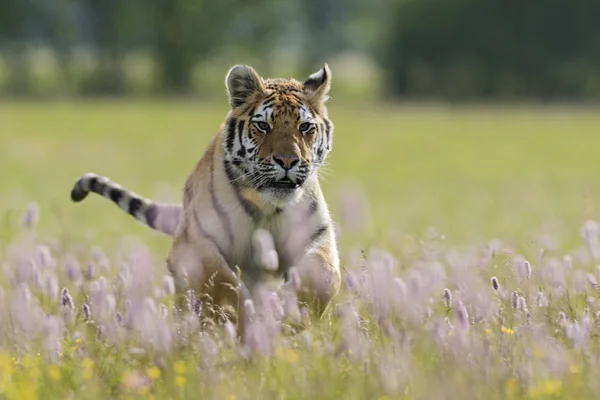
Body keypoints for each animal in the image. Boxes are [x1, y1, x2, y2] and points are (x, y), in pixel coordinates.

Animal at [69, 63, 342, 338]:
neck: (266, 206)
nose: (287, 160)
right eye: (263, 126)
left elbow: (321, 272)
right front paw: (247, 323)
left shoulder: (316, 236)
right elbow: (223, 283)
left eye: (305, 127)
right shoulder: (194, 243)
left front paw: (290, 315)